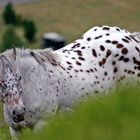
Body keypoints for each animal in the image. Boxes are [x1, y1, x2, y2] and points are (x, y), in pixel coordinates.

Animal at [0, 25, 140, 138]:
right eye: (0, 81)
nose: (18, 112)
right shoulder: (16, 130)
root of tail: (131, 37)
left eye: (19, 77)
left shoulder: (42, 125)